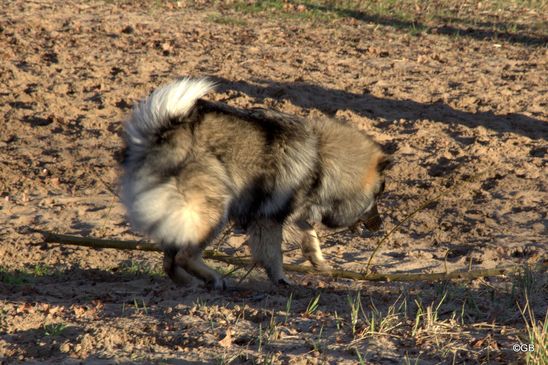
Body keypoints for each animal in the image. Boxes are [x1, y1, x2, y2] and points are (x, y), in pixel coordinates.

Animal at [121, 78, 390, 288]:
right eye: (377, 197)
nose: (380, 225)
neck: (322, 161)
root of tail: (163, 136)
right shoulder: (268, 219)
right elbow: (274, 255)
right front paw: (282, 280)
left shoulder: (291, 212)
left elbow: (310, 236)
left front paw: (319, 262)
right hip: (213, 211)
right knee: (184, 256)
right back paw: (213, 279)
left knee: (169, 261)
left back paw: (189, 283)